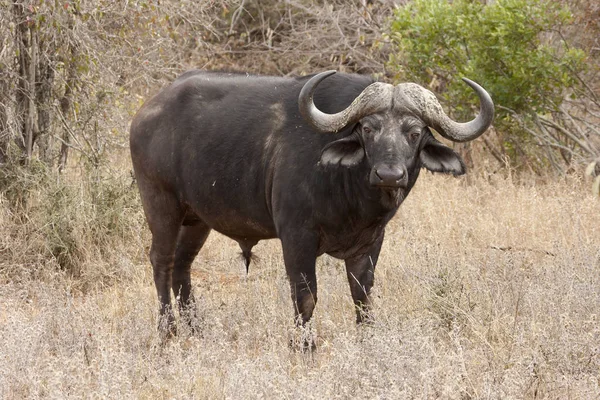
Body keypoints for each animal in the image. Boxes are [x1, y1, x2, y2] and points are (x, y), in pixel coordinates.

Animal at [130, 69, 492, 338]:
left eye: (414, 133)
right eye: (368, 129)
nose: (389, 174)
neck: (353, 196)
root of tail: (145, 114)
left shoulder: (370, 243)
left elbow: (362, 298)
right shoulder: (296, 237)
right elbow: (305, 298)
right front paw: (304, 347)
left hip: (197, 219)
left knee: (182, 266)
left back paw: (196, 329)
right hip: (161, 205)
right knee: (161, 262)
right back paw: (168, 331)